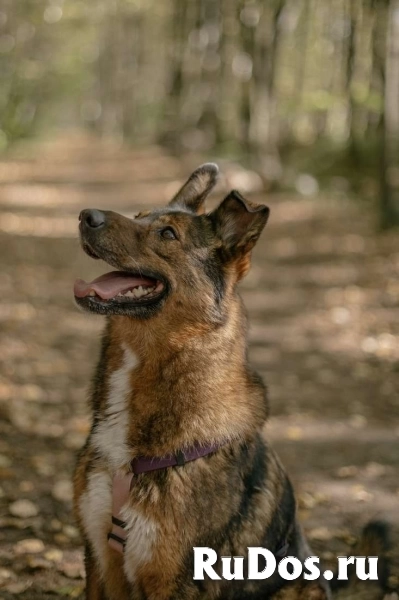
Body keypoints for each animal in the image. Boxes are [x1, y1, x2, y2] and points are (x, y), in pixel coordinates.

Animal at [72, 164, 388, 600]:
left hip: (297, 588)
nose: (85, 216)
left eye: (167, 234)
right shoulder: (100, 561)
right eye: (139, 216)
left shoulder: (178, 582)